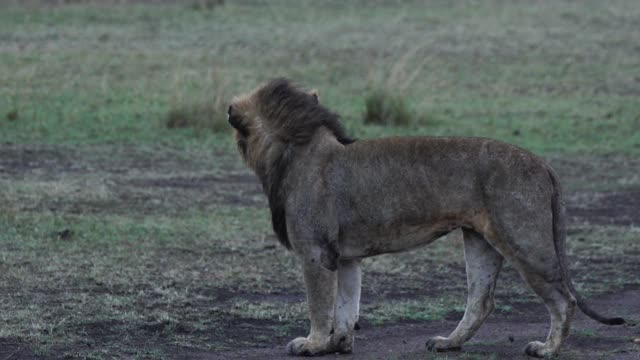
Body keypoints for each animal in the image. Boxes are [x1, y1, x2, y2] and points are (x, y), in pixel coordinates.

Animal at [226, 78, 624, 358]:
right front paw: (339, 344)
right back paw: (449, 343)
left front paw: (312, 344)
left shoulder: (314, 252)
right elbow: (346, 304)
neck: (293, 150)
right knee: (481, 300)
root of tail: (544, 164)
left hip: (523, 239)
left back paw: (547, 349)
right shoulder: (345, 256)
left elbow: (320, 304)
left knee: (563, 300)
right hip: (480, 240)